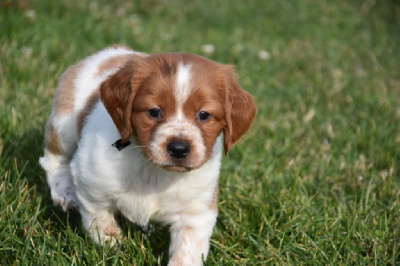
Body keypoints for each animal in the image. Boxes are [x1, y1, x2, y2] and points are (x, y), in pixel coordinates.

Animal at [38, 44, 256, 264]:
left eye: (204, 115)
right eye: (154, 112)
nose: (179, 148)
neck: (154, 170)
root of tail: (114, 50)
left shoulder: (196, 214)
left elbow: (186, 254)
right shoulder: (91, 184)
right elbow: (99, 219)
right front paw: (112, 246)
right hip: (64, 125)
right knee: (53, 159)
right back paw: (65, 193)